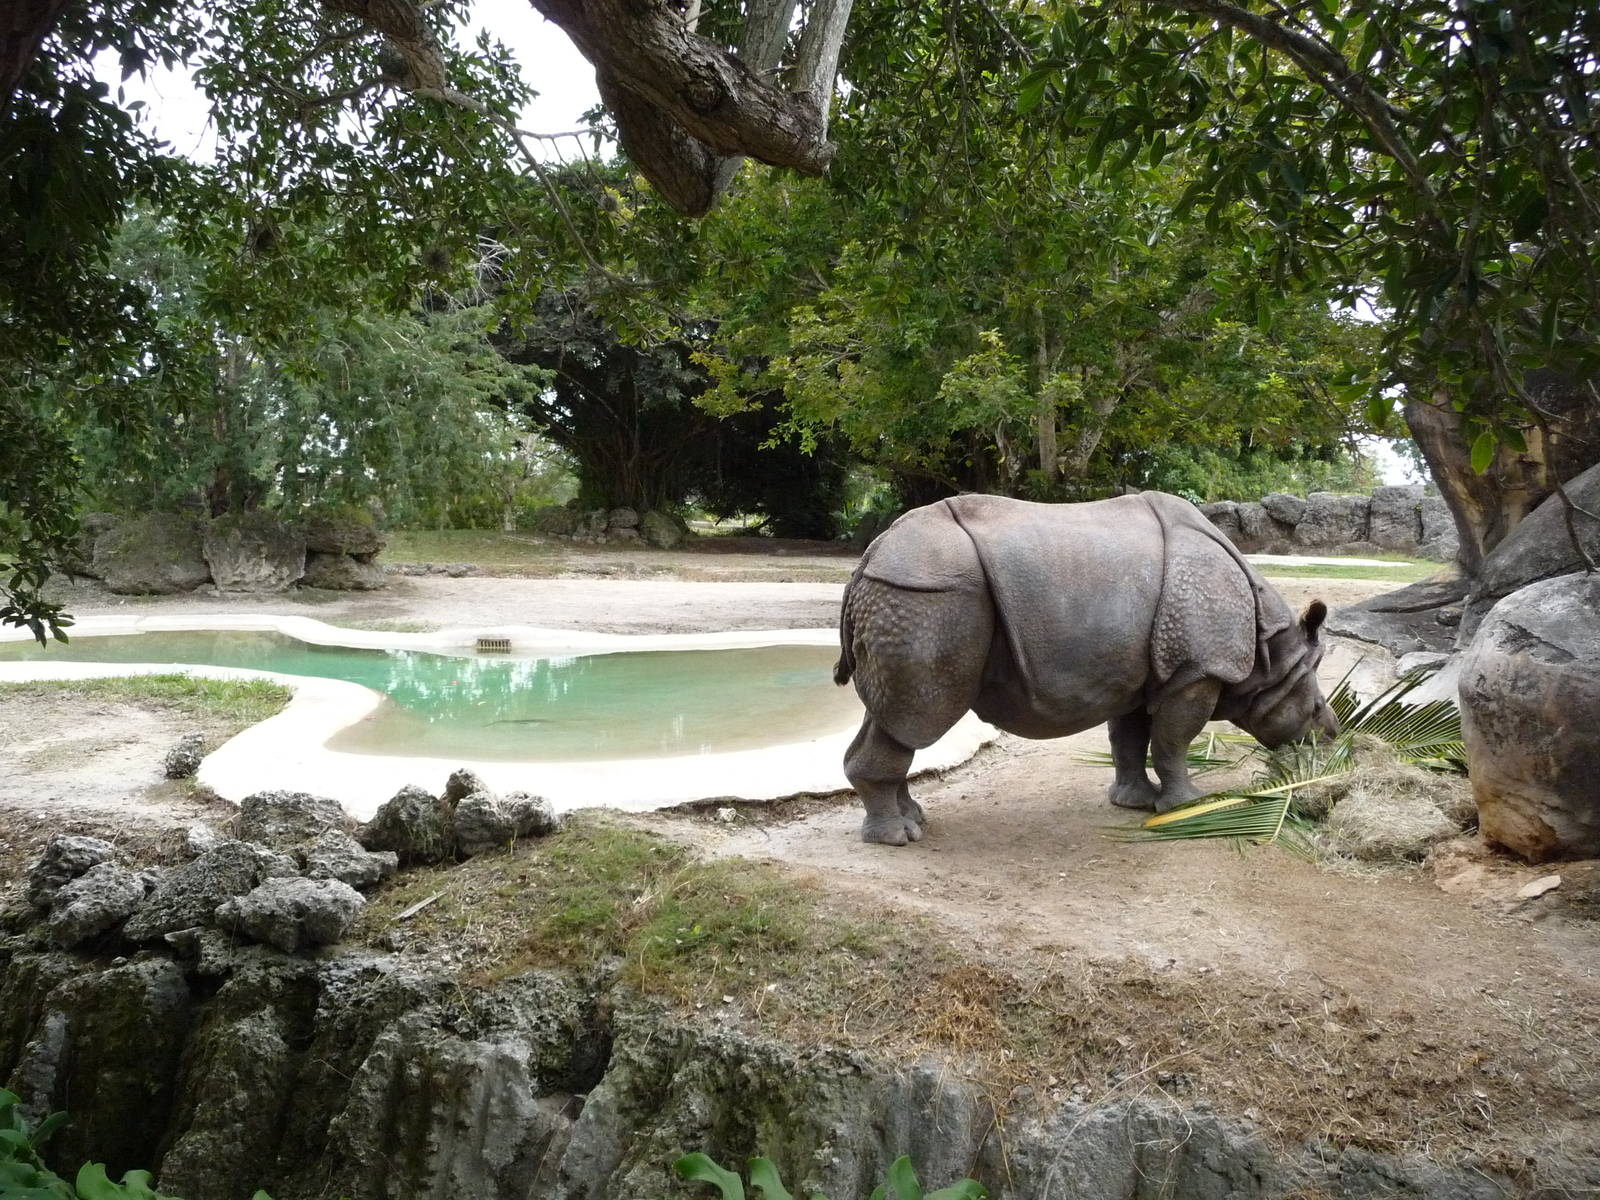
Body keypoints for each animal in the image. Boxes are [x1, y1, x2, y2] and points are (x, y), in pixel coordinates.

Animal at [834, 491, 1339, 845]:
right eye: (1315, 709)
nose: (1332, 736)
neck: (1270, 650)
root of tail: (868, 559)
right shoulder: (1197, 670)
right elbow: (1174, 740)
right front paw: (1190, 805)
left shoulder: (1142, 674)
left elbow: (1131, 738)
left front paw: (1134, 803)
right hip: (927, 598)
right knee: (918, 718)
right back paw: (898, 839)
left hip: (907, 597)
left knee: (891, 719)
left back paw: (913, 819)